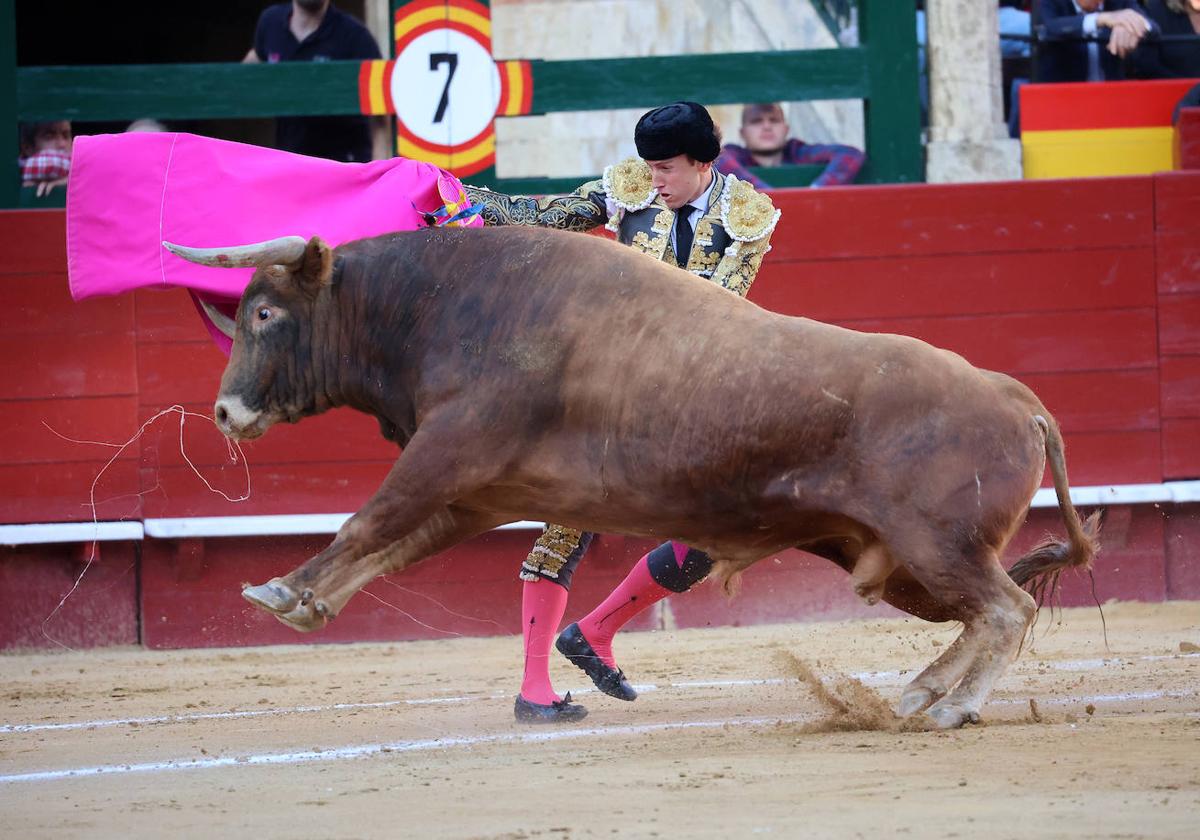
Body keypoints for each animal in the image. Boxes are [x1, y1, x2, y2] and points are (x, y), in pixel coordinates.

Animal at [164, 228, 1099, 729]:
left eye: (265, 313)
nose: (225, 413)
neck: (439, 304)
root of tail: (1017, 398)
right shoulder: (476, 492)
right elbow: (393, 544)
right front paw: (304, 601)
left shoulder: (448, 451)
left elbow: (368, 520)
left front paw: (280, 590)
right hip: (898, 560)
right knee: (991, 608)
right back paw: (917, 694)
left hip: (932, 544)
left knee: (1004, 610)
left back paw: (944, 707)